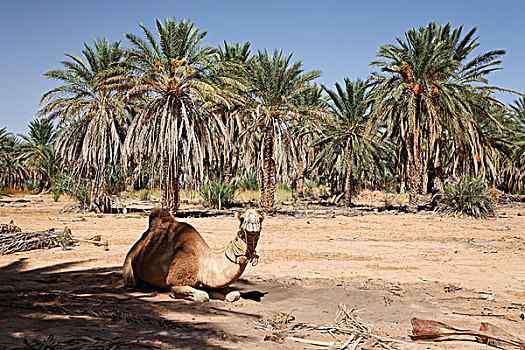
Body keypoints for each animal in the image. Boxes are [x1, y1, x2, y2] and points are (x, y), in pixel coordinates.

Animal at [122, 208, 262, 300]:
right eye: (242, 219)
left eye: (260, 218)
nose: (253, 224)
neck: (202, 261)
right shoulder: (176, 281)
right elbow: (203, 296)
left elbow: (234, 294)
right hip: (129, 261)